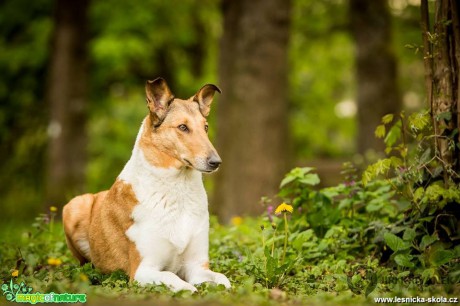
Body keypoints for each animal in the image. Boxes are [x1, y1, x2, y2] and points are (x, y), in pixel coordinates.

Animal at [62, 77, 230, 292]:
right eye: (183, 127)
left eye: (206, 127)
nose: (216, 162)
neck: (178, 190)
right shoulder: (142, 270)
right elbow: (176, 279)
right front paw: (191, 291)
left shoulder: (196, 267)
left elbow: (223, 280)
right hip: (75, 205)